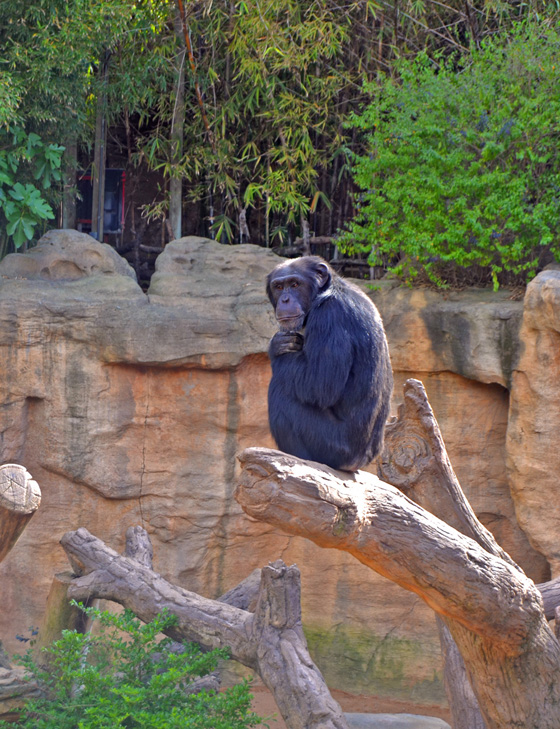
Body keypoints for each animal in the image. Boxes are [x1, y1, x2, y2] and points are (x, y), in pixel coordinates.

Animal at [266, 256, 394, 472]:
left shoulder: (330, 316)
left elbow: (319, 385)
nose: (285, 299)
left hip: (331, 446)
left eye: (295, 284)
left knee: (281, 391)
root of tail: (357, 463)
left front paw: (276, 347)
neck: (323, 293)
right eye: (279, 286)